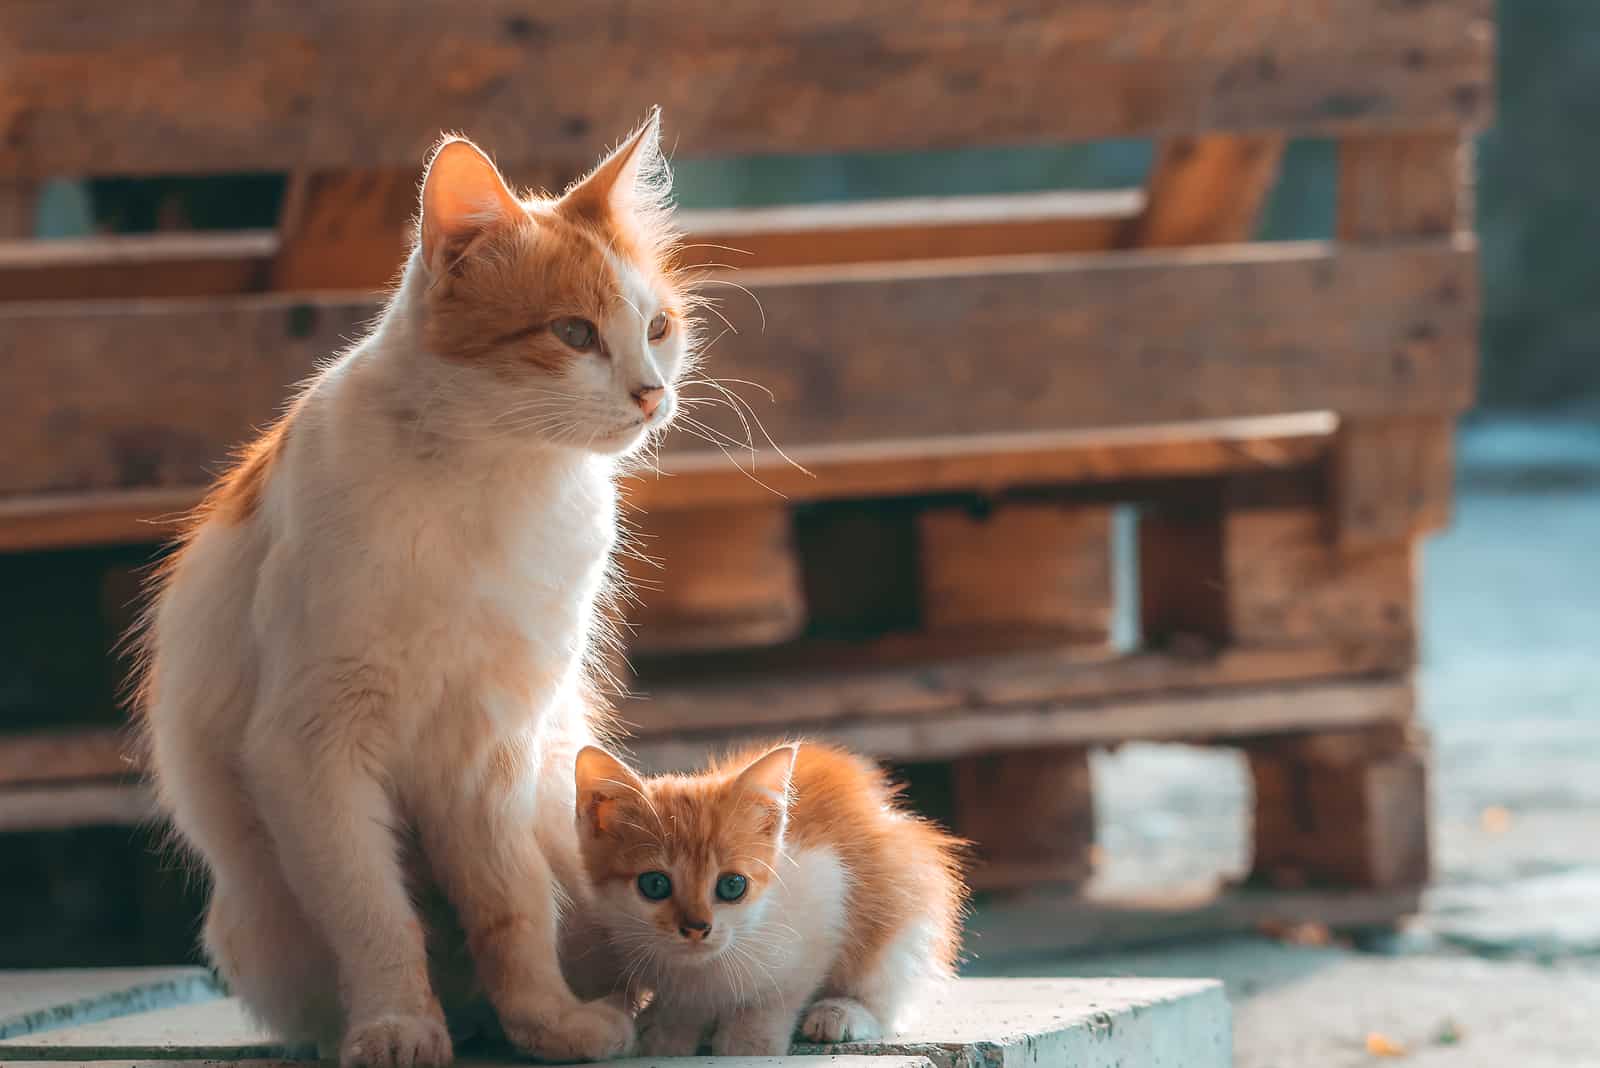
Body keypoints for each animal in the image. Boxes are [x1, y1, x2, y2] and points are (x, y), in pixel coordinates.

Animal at [140, 110, 704, 1068]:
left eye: (658, 327)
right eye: (574, 334)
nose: (651, 394)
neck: (490, 480)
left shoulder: (490, 750)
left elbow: (511, 907)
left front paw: (546, 1022)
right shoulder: (314, 748)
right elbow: (376, 918)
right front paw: (398, 1025)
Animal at [579, 738, 966, 1055]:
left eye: (732, 885)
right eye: (655, 885)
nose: (697, 927)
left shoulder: (824, 898)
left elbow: (781, 992)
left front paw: (750, 1040)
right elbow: (684, 1006)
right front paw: (668, 1031)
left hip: (906, 900)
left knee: (887, 988)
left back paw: (842, 1012)